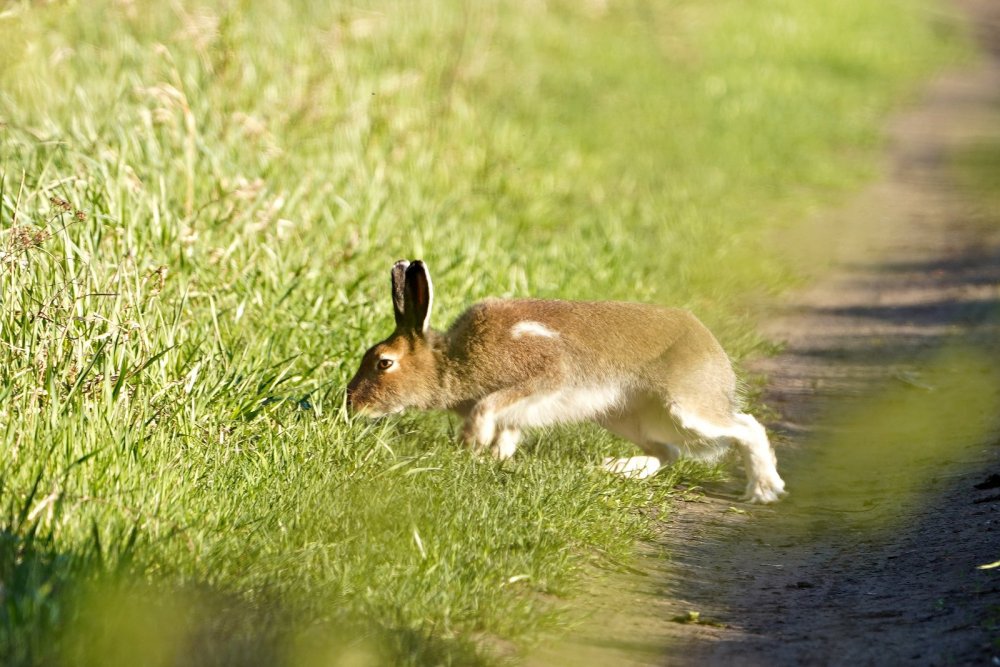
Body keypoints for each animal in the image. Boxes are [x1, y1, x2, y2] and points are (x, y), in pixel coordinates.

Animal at [346, 259, 787, 504]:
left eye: (384, 363)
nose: (351, 405)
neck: (451, 361)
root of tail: (711, 347)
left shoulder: (544, 373)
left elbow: (490, 407)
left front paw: (471, 443)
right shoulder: (519, 413)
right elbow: (507, 433)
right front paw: (493, 460)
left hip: (685, 410)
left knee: (746, 427)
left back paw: (764, 490)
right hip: (625, 416)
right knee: (667, 452)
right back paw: (612, 470)